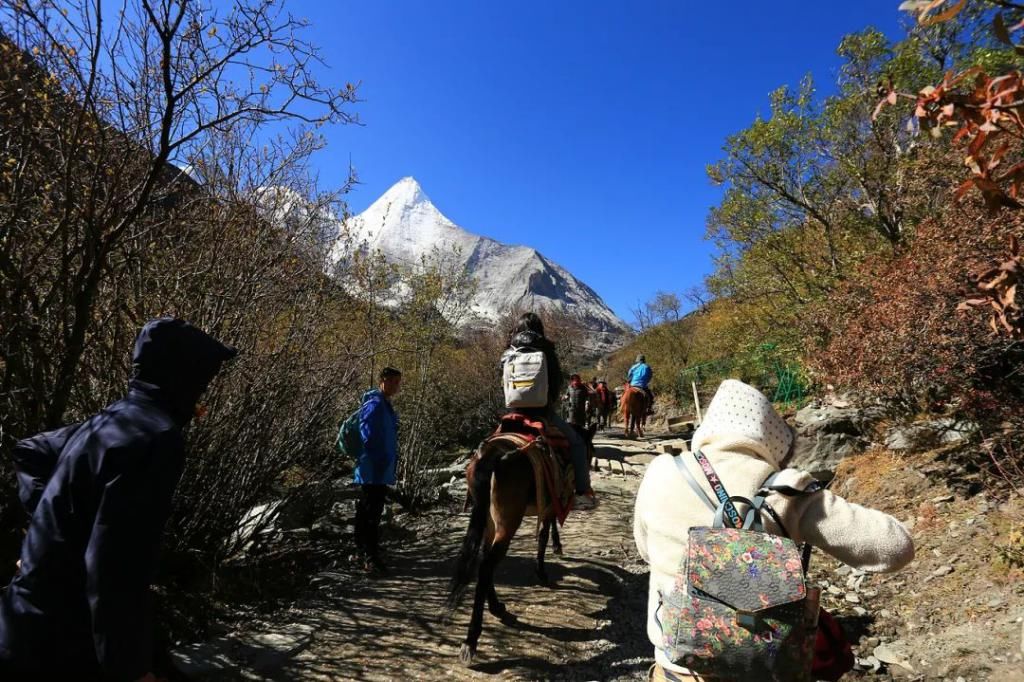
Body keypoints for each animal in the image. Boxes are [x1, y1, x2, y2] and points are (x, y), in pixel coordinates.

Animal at [444, 421, 598, 659]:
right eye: (591, 450)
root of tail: (491, 456)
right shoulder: (551, 503)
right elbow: (544, 534)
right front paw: (544, 569)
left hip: (489, 520)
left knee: (483, 558)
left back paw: (496, 607)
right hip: (507, 523)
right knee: (487, 564)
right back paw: (472, 638)